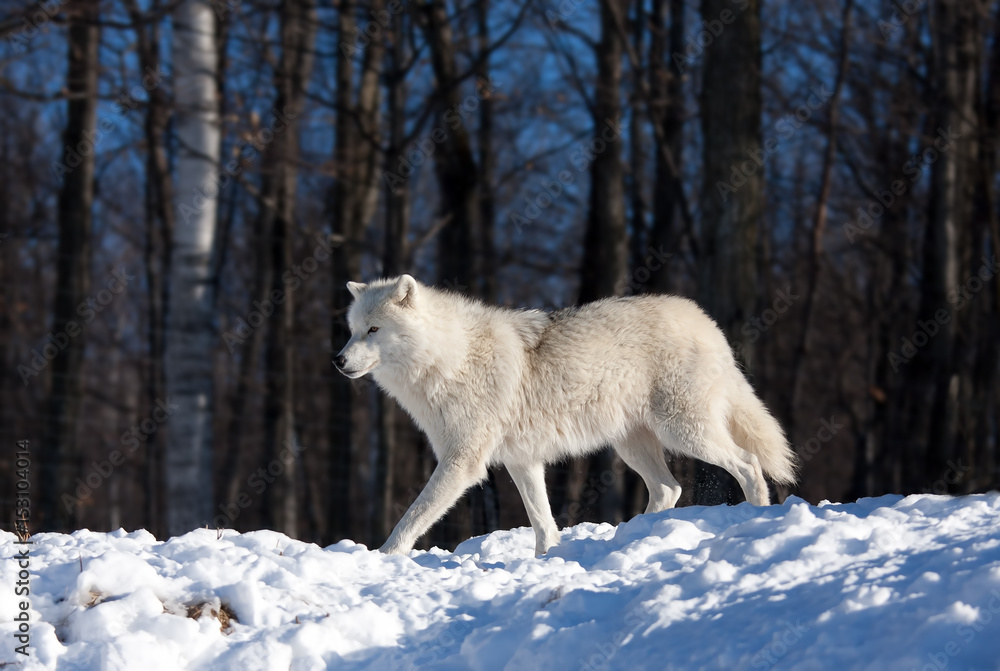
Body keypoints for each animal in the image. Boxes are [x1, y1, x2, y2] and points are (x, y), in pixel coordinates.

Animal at [335, 275, 797, 557]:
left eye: (374, 330)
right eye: (353, 330)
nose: (338, 361)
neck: (449, 357)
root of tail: (707, 322)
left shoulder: (462, 462)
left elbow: (411, 518)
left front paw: (383, 558)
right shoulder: (522, 460)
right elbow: (543, 521)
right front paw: (547, 559)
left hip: (683, 431)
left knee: (748, 464)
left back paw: (756, 518)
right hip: (633, 445)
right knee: (669, 488)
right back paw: (635, 536)